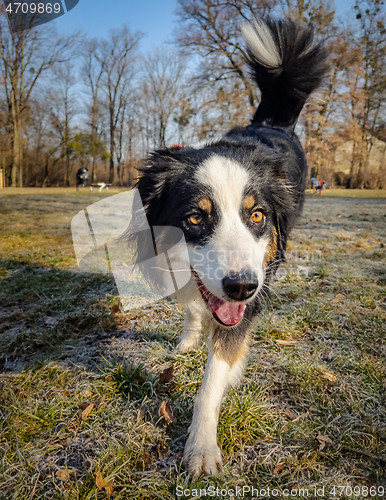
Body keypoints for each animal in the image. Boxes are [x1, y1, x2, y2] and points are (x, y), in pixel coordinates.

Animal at [131, 18, 328, 476]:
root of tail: (272, 122)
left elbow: (213, 376)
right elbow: (191, 304)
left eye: (256, 215)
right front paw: (188, 341)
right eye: (195, 218)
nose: (241, 288)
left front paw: (201, 447)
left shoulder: (249, 294)